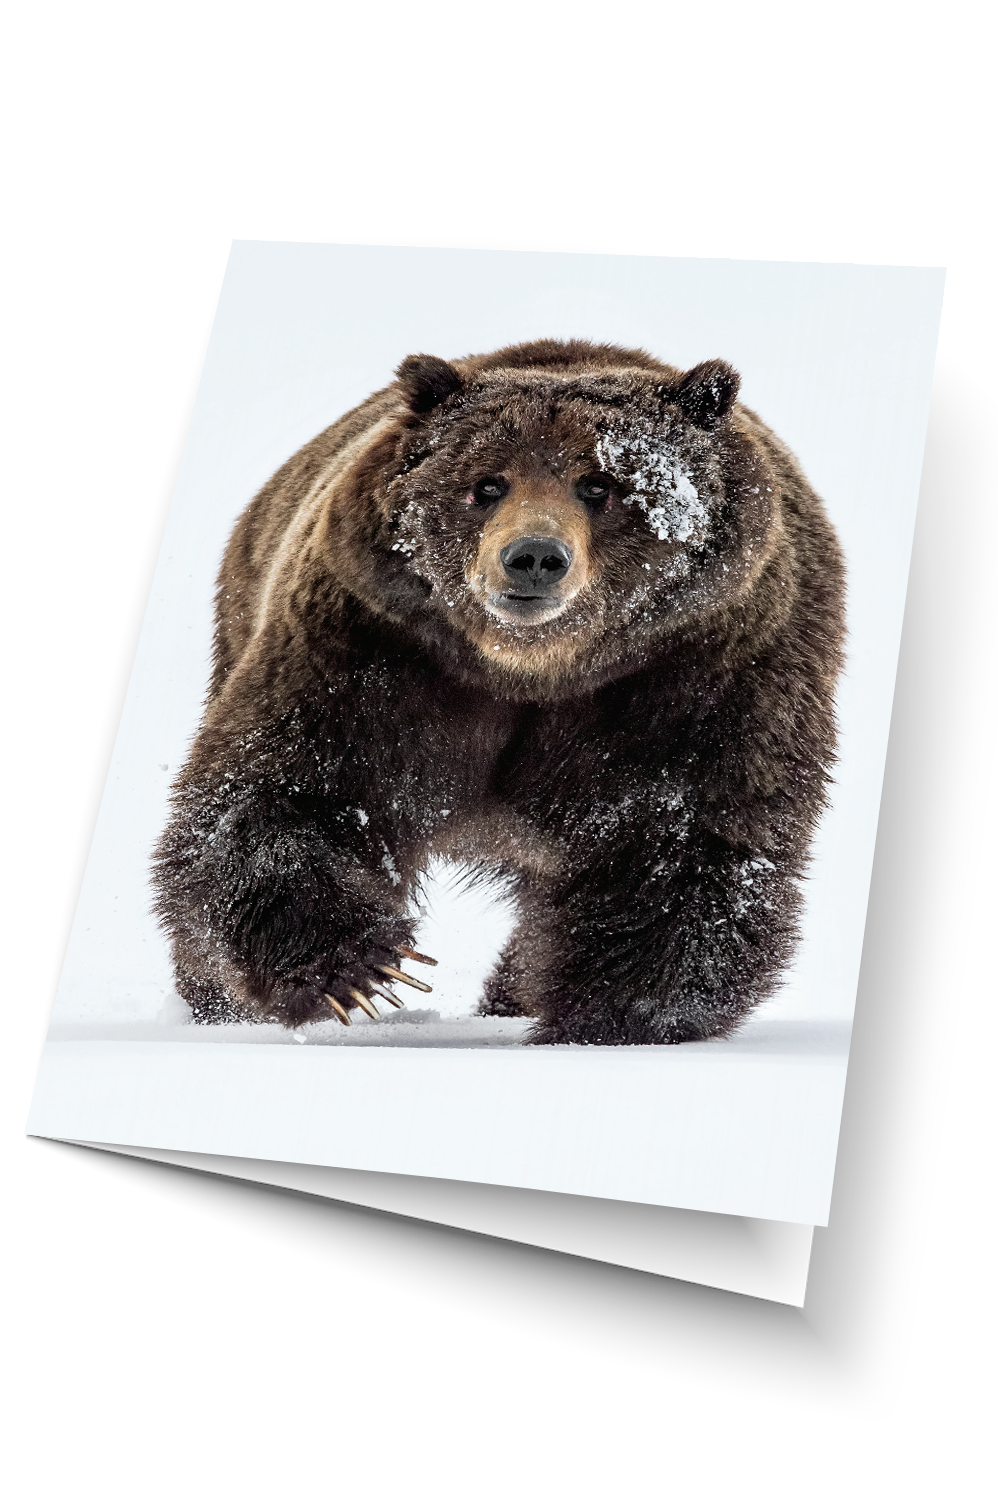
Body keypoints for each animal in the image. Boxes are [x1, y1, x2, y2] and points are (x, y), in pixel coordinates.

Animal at [153, 337, 846, 1045]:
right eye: (487, 484)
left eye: (599, 483)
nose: (533, 556)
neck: (529, 668)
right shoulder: (377, 651)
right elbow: (283, 790)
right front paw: (363, 969)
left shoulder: (695, 675)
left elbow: (679, 839)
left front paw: (616, 1015)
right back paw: (214, 1004)